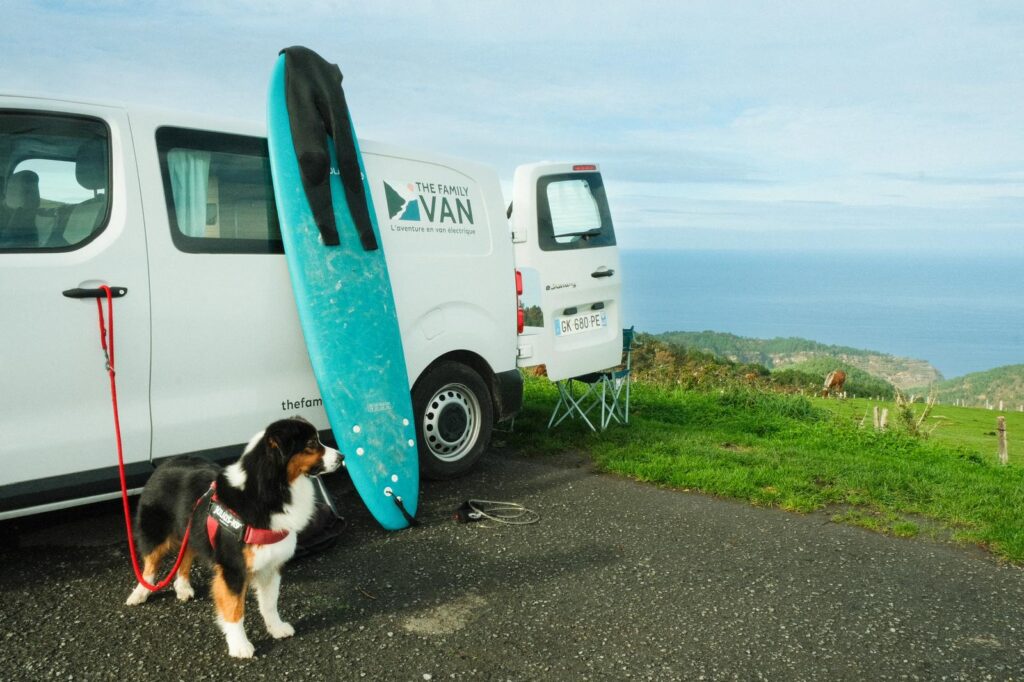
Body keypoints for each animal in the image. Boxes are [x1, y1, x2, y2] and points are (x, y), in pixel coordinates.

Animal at [125, 417, 342, 655]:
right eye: (312, 443)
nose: (342, 457)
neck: (269, 490)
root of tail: (166, 462)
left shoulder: (271, 564)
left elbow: (269, 603)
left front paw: (276, 628)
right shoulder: (233, 568)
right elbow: (234, 609)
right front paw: (240, 646)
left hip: (190, 528)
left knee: (186, 554)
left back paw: (182, 586)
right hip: (155, 531)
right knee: (150, 564)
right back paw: (140, 593)